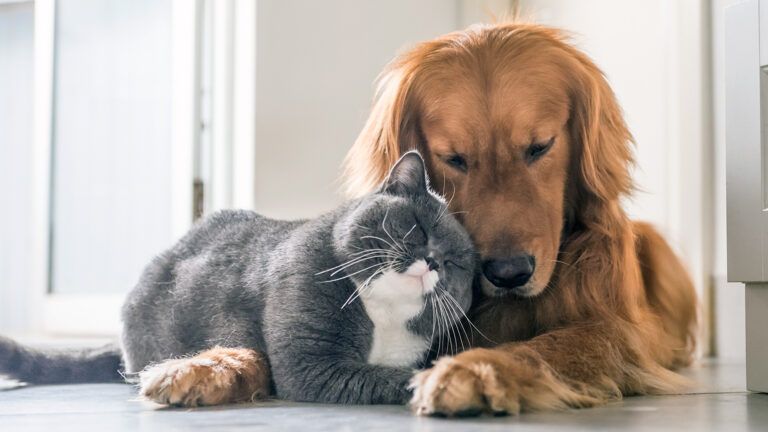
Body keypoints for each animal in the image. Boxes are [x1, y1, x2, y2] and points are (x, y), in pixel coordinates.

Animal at [0, 151, 476, 404]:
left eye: (456, 263)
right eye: (417, 227)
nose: (432, 261)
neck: (384, 318)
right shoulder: (312, 365)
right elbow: (383, 378)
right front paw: (439, 383)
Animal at [342, 22, 696, 416]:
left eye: (540, 147)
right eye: (454, 159)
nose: (509, 274)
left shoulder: (616, 329)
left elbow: (547, 346)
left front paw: (475, 370)